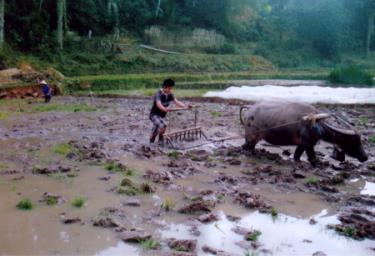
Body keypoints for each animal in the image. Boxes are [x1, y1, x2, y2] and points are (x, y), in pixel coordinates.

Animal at [241, 102, 370, 166]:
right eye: (353, 141)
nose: (365, 157)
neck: (315, 125)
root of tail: (249, 111)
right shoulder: (308, 145)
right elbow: (313, 159)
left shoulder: (302, 144)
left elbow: (296, 156)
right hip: (251, 137)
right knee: (246, 147)